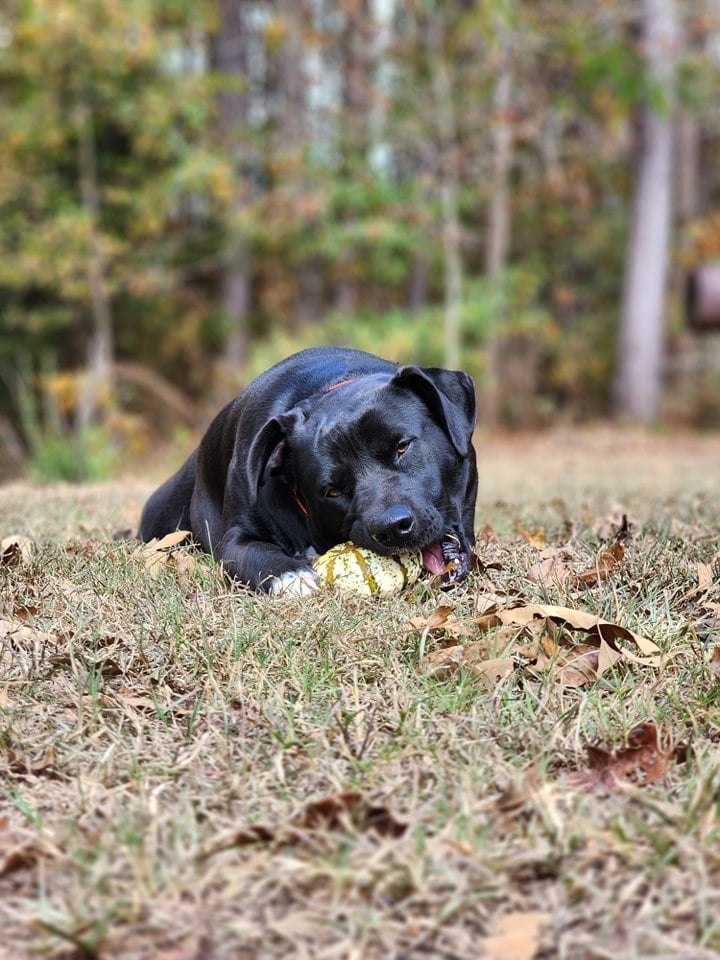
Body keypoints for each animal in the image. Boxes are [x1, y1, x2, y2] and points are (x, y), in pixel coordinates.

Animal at [140, 346, 478, 592]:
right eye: (332, 491)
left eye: (402, 446)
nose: (391, 526)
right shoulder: (235, 540)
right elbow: (256, 554)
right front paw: (293, 577)